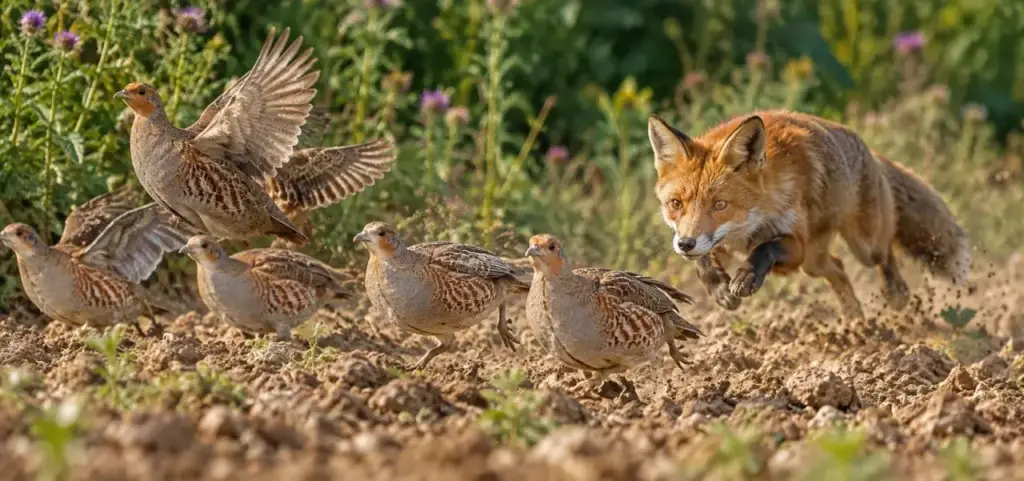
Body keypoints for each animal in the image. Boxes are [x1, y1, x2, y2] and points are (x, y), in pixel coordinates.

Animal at [646, 110, 970, 319]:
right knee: (838, 268)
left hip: (863, 247)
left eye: (720, 205)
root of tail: (869, 149)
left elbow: (765, 248)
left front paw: (746, 276)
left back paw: (894, 294)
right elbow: (702, 264)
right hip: (815, 263)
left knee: (884, 254)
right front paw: (719, 289)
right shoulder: (718, 243)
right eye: (676, 203)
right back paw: (855, 320)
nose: (685, 244)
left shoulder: (794, 244)